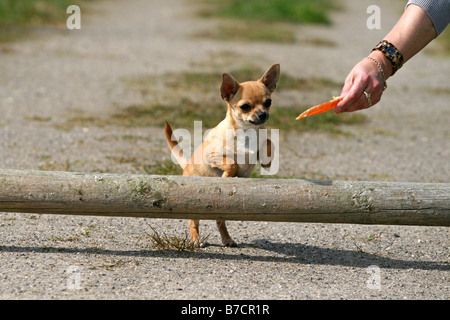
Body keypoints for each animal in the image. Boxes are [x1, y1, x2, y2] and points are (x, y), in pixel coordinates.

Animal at [163, 63, 280, 246]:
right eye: (245, 106)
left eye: (268, 102)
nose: (263, 114)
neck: (247, 133)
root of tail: (187, 165)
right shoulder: (212, 156)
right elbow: (231, 162)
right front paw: (227, 176)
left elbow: (268, 141)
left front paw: (267, 160)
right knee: (193, 222)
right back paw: (196, 239)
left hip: (223, 207)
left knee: (220, 221)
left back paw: (227, 239)